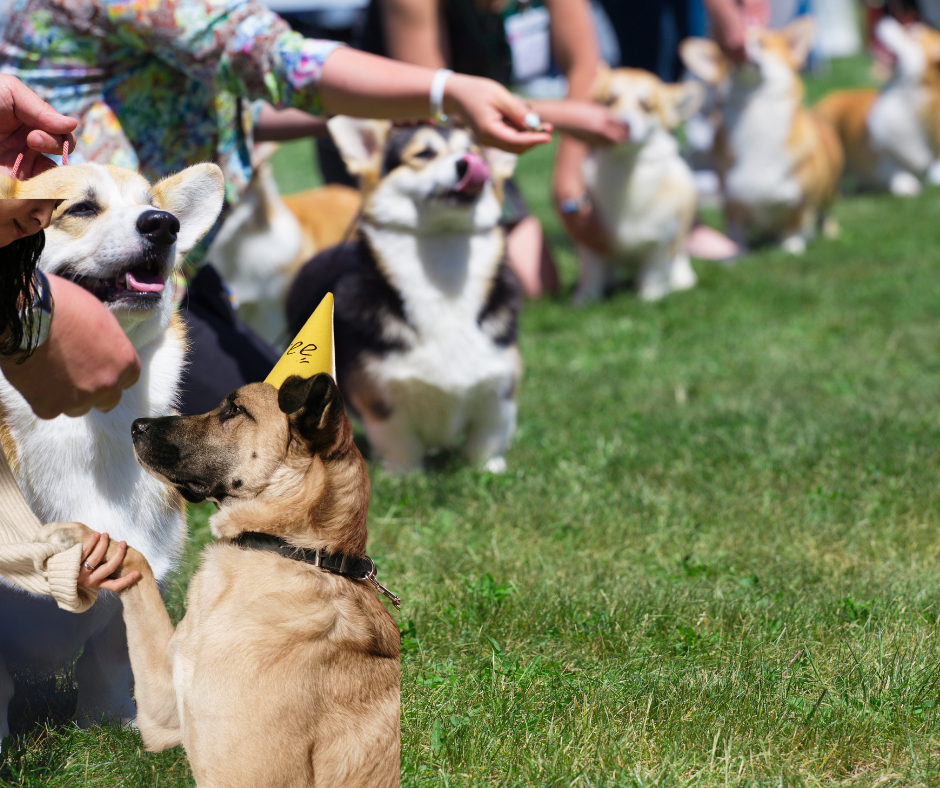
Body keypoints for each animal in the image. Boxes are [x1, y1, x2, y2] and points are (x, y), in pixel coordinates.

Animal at [680, 16, 840, 252]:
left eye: (762, 43)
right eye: (729, 49)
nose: (741, 46)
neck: (754, 109)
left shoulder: (797, 200)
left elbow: (793, 223)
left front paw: (792, 247)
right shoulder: (731, 200)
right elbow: (736, 230)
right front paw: (737, 252)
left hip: (828, 190)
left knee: (824, 212)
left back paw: (828, 232)